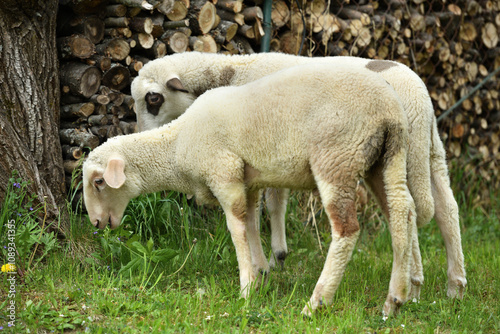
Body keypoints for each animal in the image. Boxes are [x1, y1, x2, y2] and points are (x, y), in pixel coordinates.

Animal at [84, 64, 416, 316]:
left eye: (99, 182)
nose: (96, 223)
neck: (177, 146)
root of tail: (388, 106)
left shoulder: (225, 173)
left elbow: (236, 228)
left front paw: (246, 287)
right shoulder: (249, 179)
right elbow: (253, 223)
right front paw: (261, 273)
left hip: (337, 157)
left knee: (347, 230)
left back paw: (317, 302)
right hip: (387, 157)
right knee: (402, 211)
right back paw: (397, 298)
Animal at [131, 52, 466, 300]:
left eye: (153, 98)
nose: (140, 134)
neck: (232, 71)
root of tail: (419, 96)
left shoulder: (265, 149)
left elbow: (267, 206)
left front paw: (268, 262)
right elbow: (273, 202)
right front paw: (275, 258)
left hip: (403, 154)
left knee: (412, 209)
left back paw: (413, 284)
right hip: (431, 150)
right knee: (445, 209)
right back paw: (451, 286)